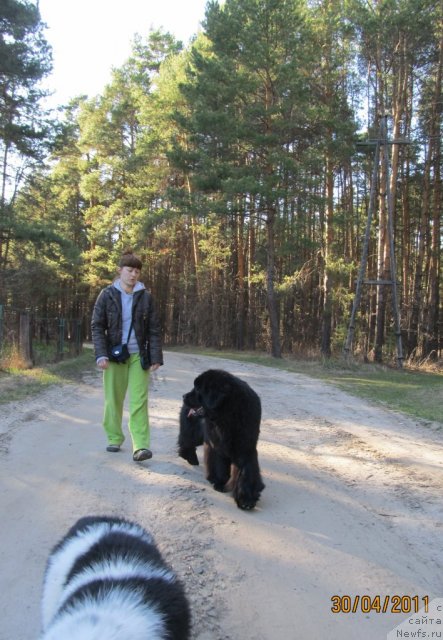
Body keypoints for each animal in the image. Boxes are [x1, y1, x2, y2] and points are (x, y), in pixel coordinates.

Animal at [179, 370, 266, 510]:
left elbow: (247, 471)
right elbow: (219, 465)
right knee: (187, 440)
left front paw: (246, 499)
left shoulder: (246, 449)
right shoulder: (217, 446)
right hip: (195, 431)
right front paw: (219, 482)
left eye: (197, 389)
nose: (184, 396)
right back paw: (190, 457)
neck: (228, 415)